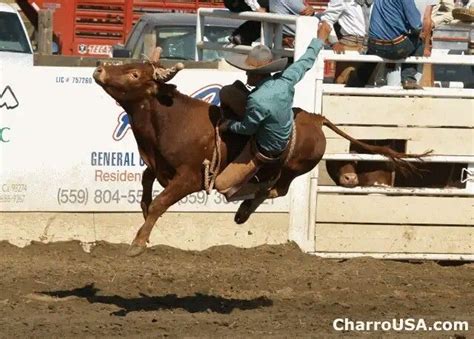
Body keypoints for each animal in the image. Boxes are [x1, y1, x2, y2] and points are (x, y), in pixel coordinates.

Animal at [92, 49, 426, 258]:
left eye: (135, 75)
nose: (99, 69)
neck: (168, 119)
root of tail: (315, 117)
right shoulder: (157, 165)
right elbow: (146, 183)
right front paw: (143, 213)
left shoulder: (189, 178)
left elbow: (161, 202)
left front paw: (137, 243)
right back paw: (243, 209)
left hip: (293, 166)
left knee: (276, 187)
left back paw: (244, 208)